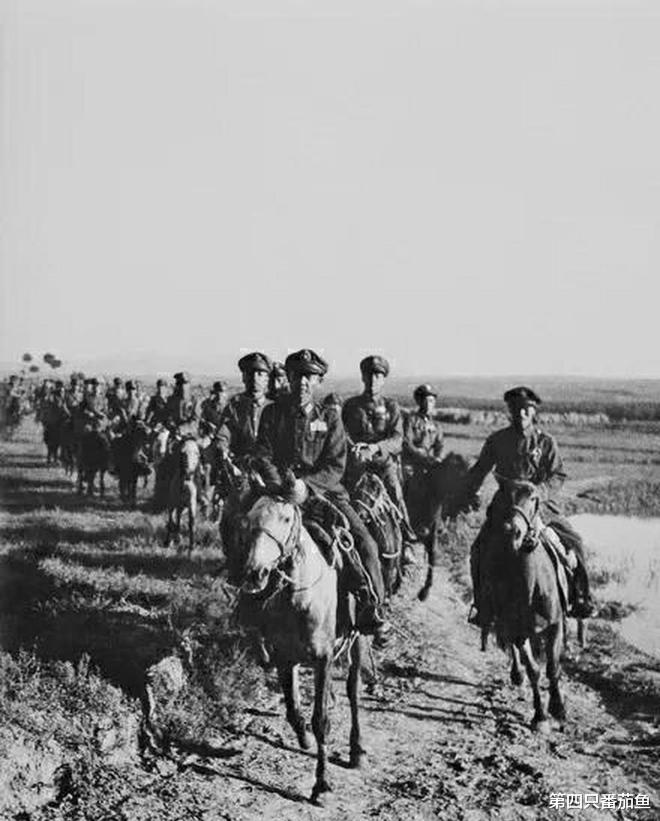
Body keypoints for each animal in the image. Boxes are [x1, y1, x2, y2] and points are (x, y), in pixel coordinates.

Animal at [238, 489, 364, 804]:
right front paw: (304, 737)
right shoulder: (284, 657)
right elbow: (294, 711)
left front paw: (322, 784)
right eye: (250, 518)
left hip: (360, 641)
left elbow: (322, 720)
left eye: (285, 518)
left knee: (354, 690)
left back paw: (357, 750)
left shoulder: (323, 659)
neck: (300, 597)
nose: (255, 573)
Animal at [480, 480, 566, 732]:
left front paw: (558, 709)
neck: (531, 585)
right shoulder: (519, 631)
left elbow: (552, 667)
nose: (512, 532)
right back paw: (516, 675)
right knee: (512, 647)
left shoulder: (555, 625)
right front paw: (540, 716)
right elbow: (534, 670)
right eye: (500, 497)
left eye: (534, 498)